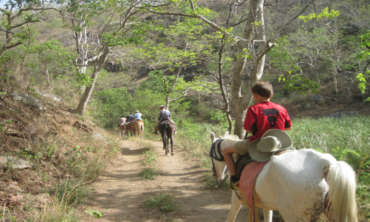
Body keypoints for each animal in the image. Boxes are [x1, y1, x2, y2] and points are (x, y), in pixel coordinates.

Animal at [211, 133, 358, 221]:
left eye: (212, 154)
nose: (217, 175)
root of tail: (324, 164)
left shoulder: (237, 199)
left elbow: (231, 216)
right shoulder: (265, 204)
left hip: (293, 215)